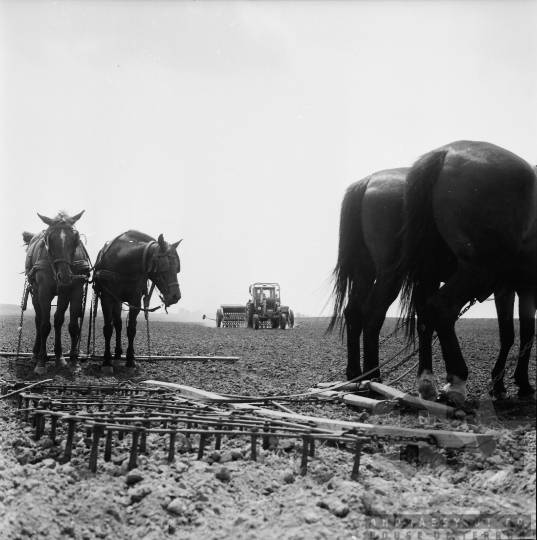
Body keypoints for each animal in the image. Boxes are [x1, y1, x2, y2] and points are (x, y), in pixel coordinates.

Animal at [22, 212, 89, 376]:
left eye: (75, 238)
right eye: (50, 239)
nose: (64, 276)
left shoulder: (76, 289)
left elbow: (73, 326)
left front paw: (74, 362)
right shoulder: (44, 292)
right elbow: (45, 326)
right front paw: (41, 362)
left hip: (63, 294)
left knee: (58, 320)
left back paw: (59, 357)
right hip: (35, 293)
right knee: (39, 320)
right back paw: (35, 355)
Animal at [93, 230, 182, 374]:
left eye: (177, 268)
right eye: (165, 266)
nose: (176, 296)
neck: (123, 261)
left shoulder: (135, 301)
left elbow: (131, 329)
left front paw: (130, 361)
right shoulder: (107, 299)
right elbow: (108, 329)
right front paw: (106, 361)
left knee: (119, 324)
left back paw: (119, 355)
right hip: (115, 301)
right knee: (117, 324)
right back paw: (115, 356)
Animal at [328, 169, 520, 400]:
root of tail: (368, 182)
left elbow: (507, 333)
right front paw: (512, 384)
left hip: (365, 270)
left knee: (354, 311)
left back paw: (355, 374)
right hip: (390, 272)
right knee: (373, 312)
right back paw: (373, 377)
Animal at [396, 141, 532, 408]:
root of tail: (446, 152)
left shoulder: (507, 287)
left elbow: (509, 334)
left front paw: (499, 385)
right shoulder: (526, 285)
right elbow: (527, 334)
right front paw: (522, 383)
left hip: (432, 267)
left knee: (424, 310)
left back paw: (427, 384)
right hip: (477, 269)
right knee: (441, 307)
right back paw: (457, 382)